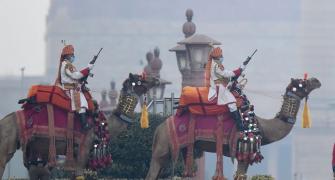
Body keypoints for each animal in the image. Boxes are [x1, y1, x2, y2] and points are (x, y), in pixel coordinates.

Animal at [0, 73, 159, 180]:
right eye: (140, 79)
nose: (157, 79)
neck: (101, 124)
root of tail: (4, 121)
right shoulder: (83, 148)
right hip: (7, 144)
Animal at [146, 76, 322, 179]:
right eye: (302, 83)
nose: (317, 80)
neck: (263, 127)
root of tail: (158, 128)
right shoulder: (243, 151)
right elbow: (240, 175)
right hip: (163, 146)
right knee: (153, 171)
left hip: (184, 148)